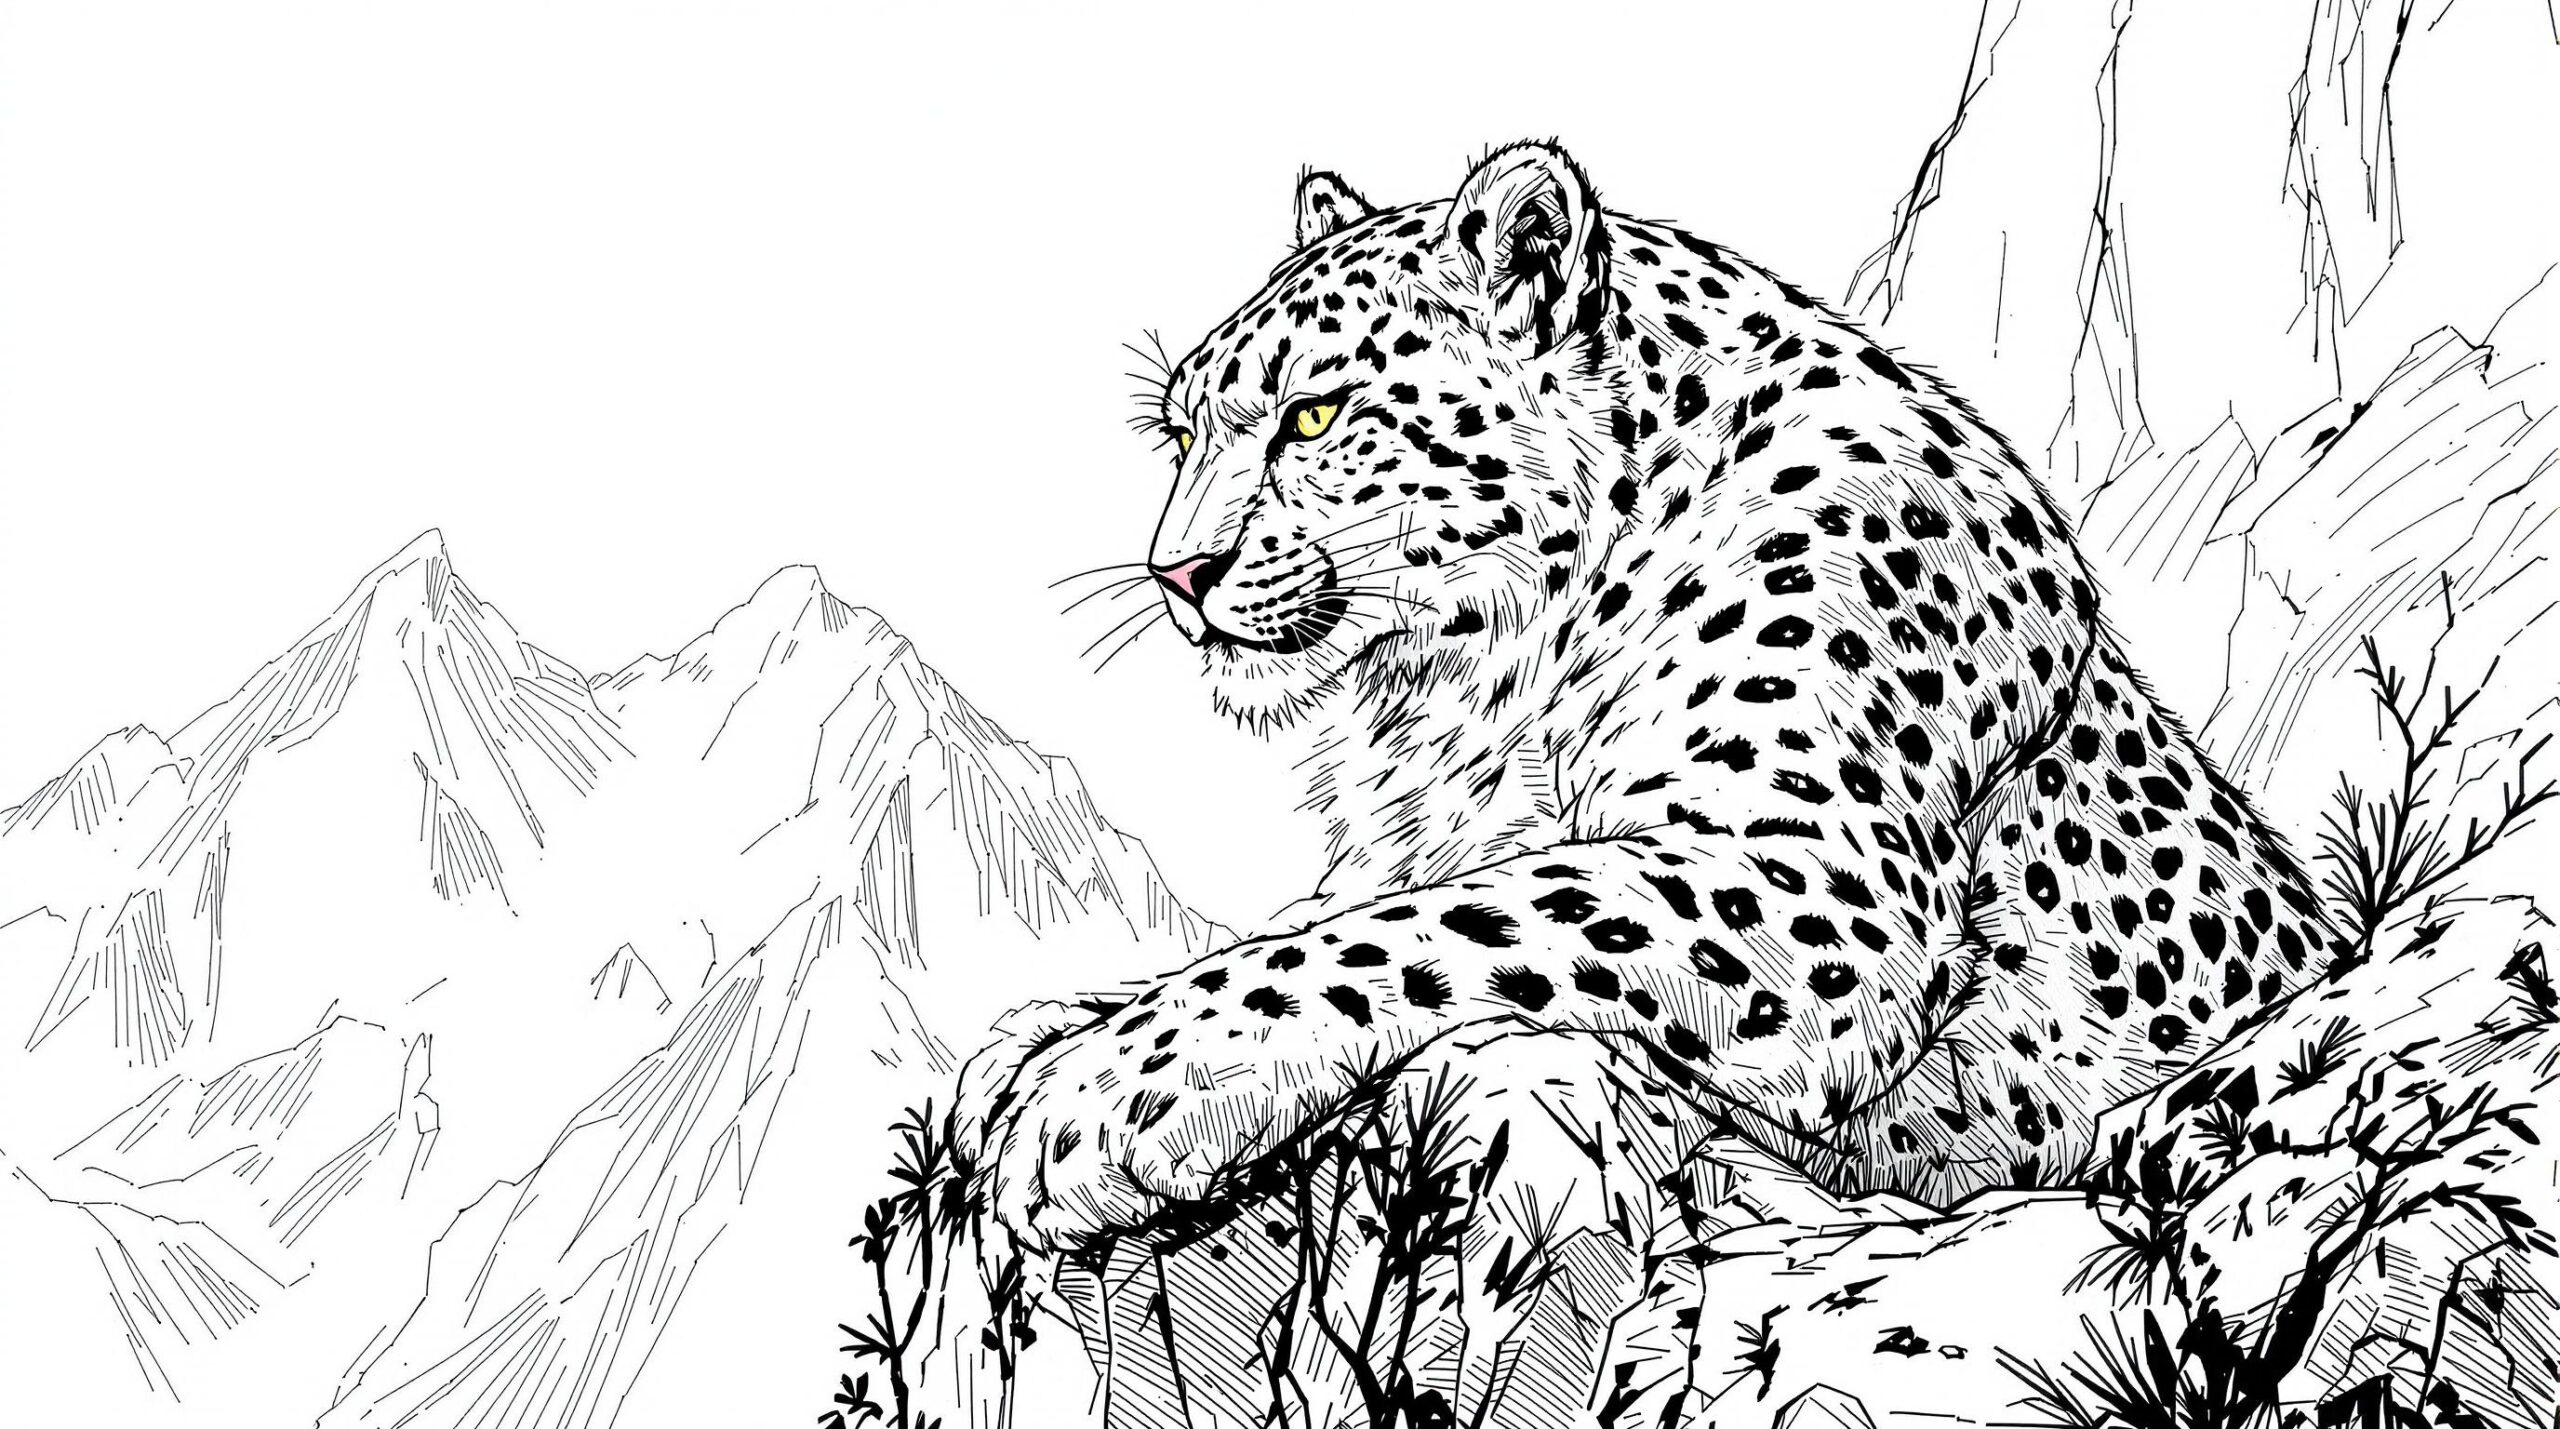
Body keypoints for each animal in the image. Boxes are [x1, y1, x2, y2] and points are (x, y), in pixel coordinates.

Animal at [959, 140, 2336, 1294]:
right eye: (1181, 431)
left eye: (1314, 413)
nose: (1175, 571)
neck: (1463, 687)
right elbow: (1319, 914)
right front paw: (1039, 1036)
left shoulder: (1816, 874)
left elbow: (1439, 920)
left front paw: (1096, 1102)